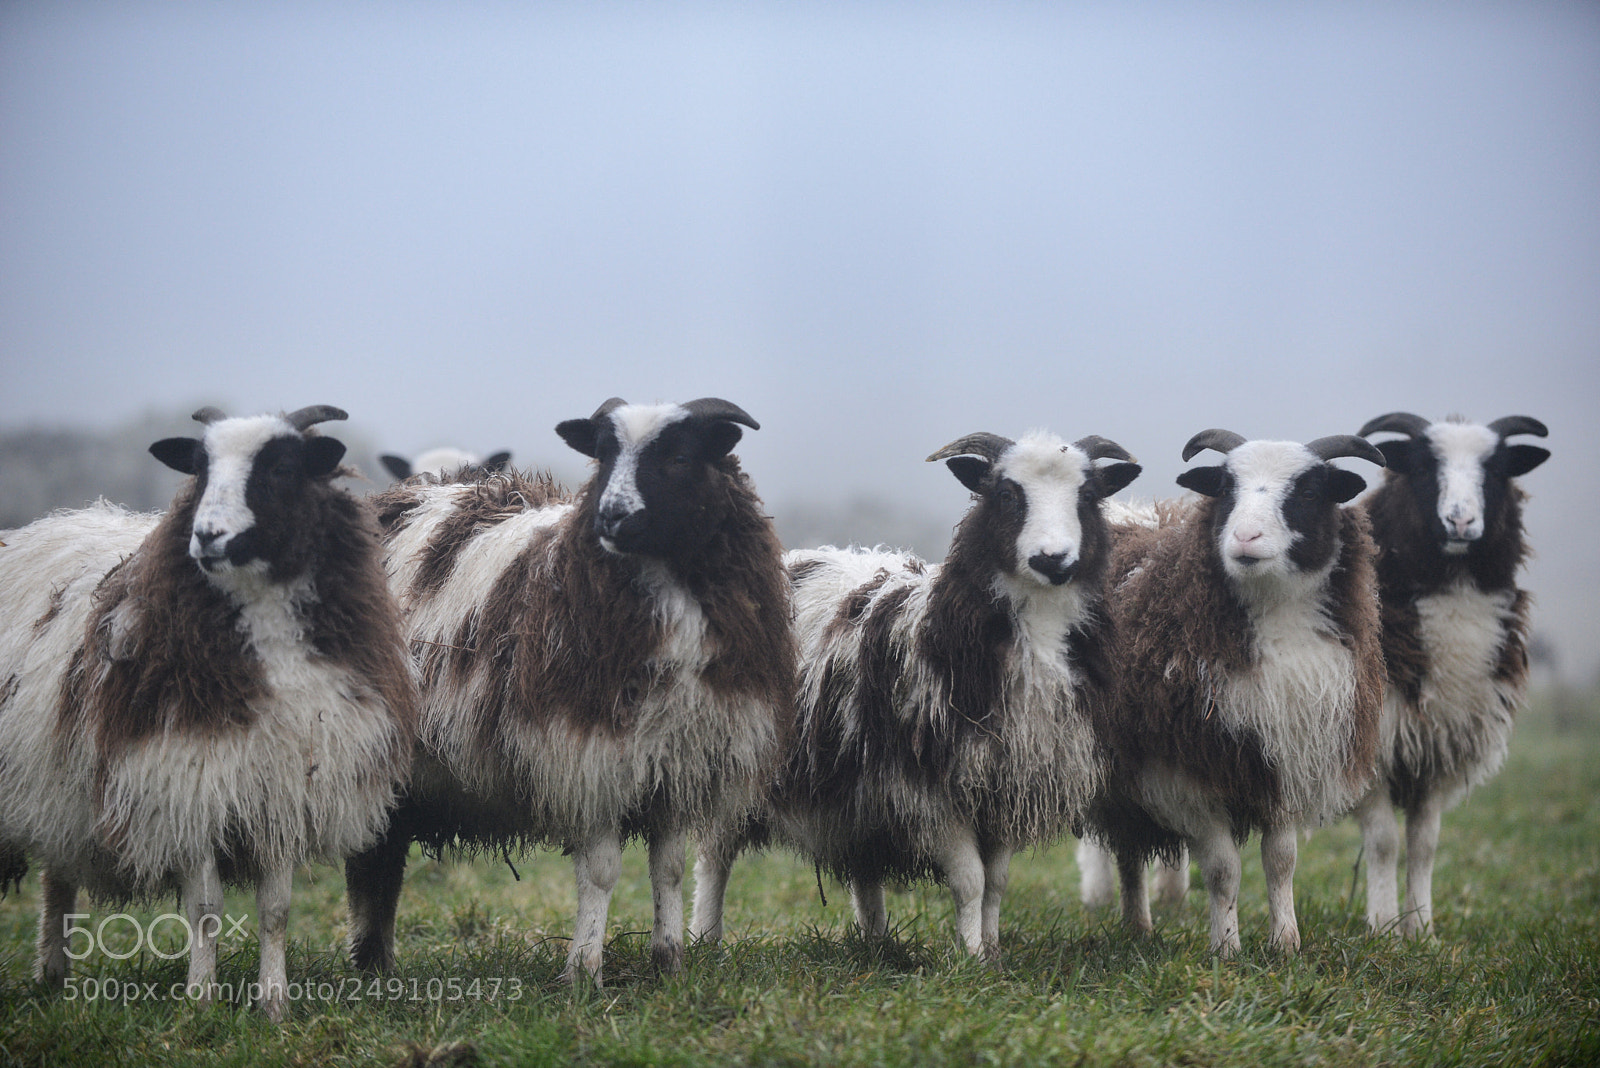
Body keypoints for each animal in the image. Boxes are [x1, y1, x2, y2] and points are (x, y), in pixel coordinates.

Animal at [0, 406, 417, 1021]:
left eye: (282, 467)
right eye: (199, 468)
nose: (207, 536)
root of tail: (58, 522)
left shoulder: (282, 789)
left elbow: (276, 909)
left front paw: (274, 1004)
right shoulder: (190, 783)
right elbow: (205, 909)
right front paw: (201, 999)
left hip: (60, 790)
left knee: (58, 873)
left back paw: (53, 975)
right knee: (58, 882)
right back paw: (52, 972)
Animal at [690, 430, 1142, 962]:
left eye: (1088, 495)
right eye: (1005, 494)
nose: (1053, 559)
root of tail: (794, 559)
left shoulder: (1006, 783)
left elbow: (997, 883)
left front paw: (993, 952)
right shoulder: (931, 792)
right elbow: (970, 881)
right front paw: (971, 959)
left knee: (862, 864)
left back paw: (875, 942)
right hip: (737, 757)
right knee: (713, 858)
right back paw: (705, 940)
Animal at [1081, 430, 1387, 956]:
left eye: (1310, 491)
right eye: (1225, 488)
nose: (1245, 538)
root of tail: (1132, 515)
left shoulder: (1284, 760)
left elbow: (1281, 860)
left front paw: (1285, 942)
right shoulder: (1185, 773)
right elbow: (1223, 869)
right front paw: (1226, 947)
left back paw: (1138, 927)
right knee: (1128, 853)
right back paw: (1138, 925)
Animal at [1348, 412, 1549, 937]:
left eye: (1495, 470)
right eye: (1423, 467)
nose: (1460, 521)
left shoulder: (1436, 749)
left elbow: (1425, 844)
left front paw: (1423, 930)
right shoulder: (1376, 747)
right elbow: (1384, 841)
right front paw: (1384, 928)